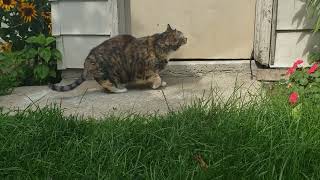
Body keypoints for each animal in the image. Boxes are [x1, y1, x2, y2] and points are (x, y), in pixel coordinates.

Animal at [48, 24, 186, 93]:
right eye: (182, 37)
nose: (187, 38)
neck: (160, 45)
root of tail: (88, 59)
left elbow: (158, 75)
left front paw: (161, 83)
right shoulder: (144, 70)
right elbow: (156, 76)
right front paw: (157, 84)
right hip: (109, 71)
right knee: (106, 84)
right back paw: (120, 89)